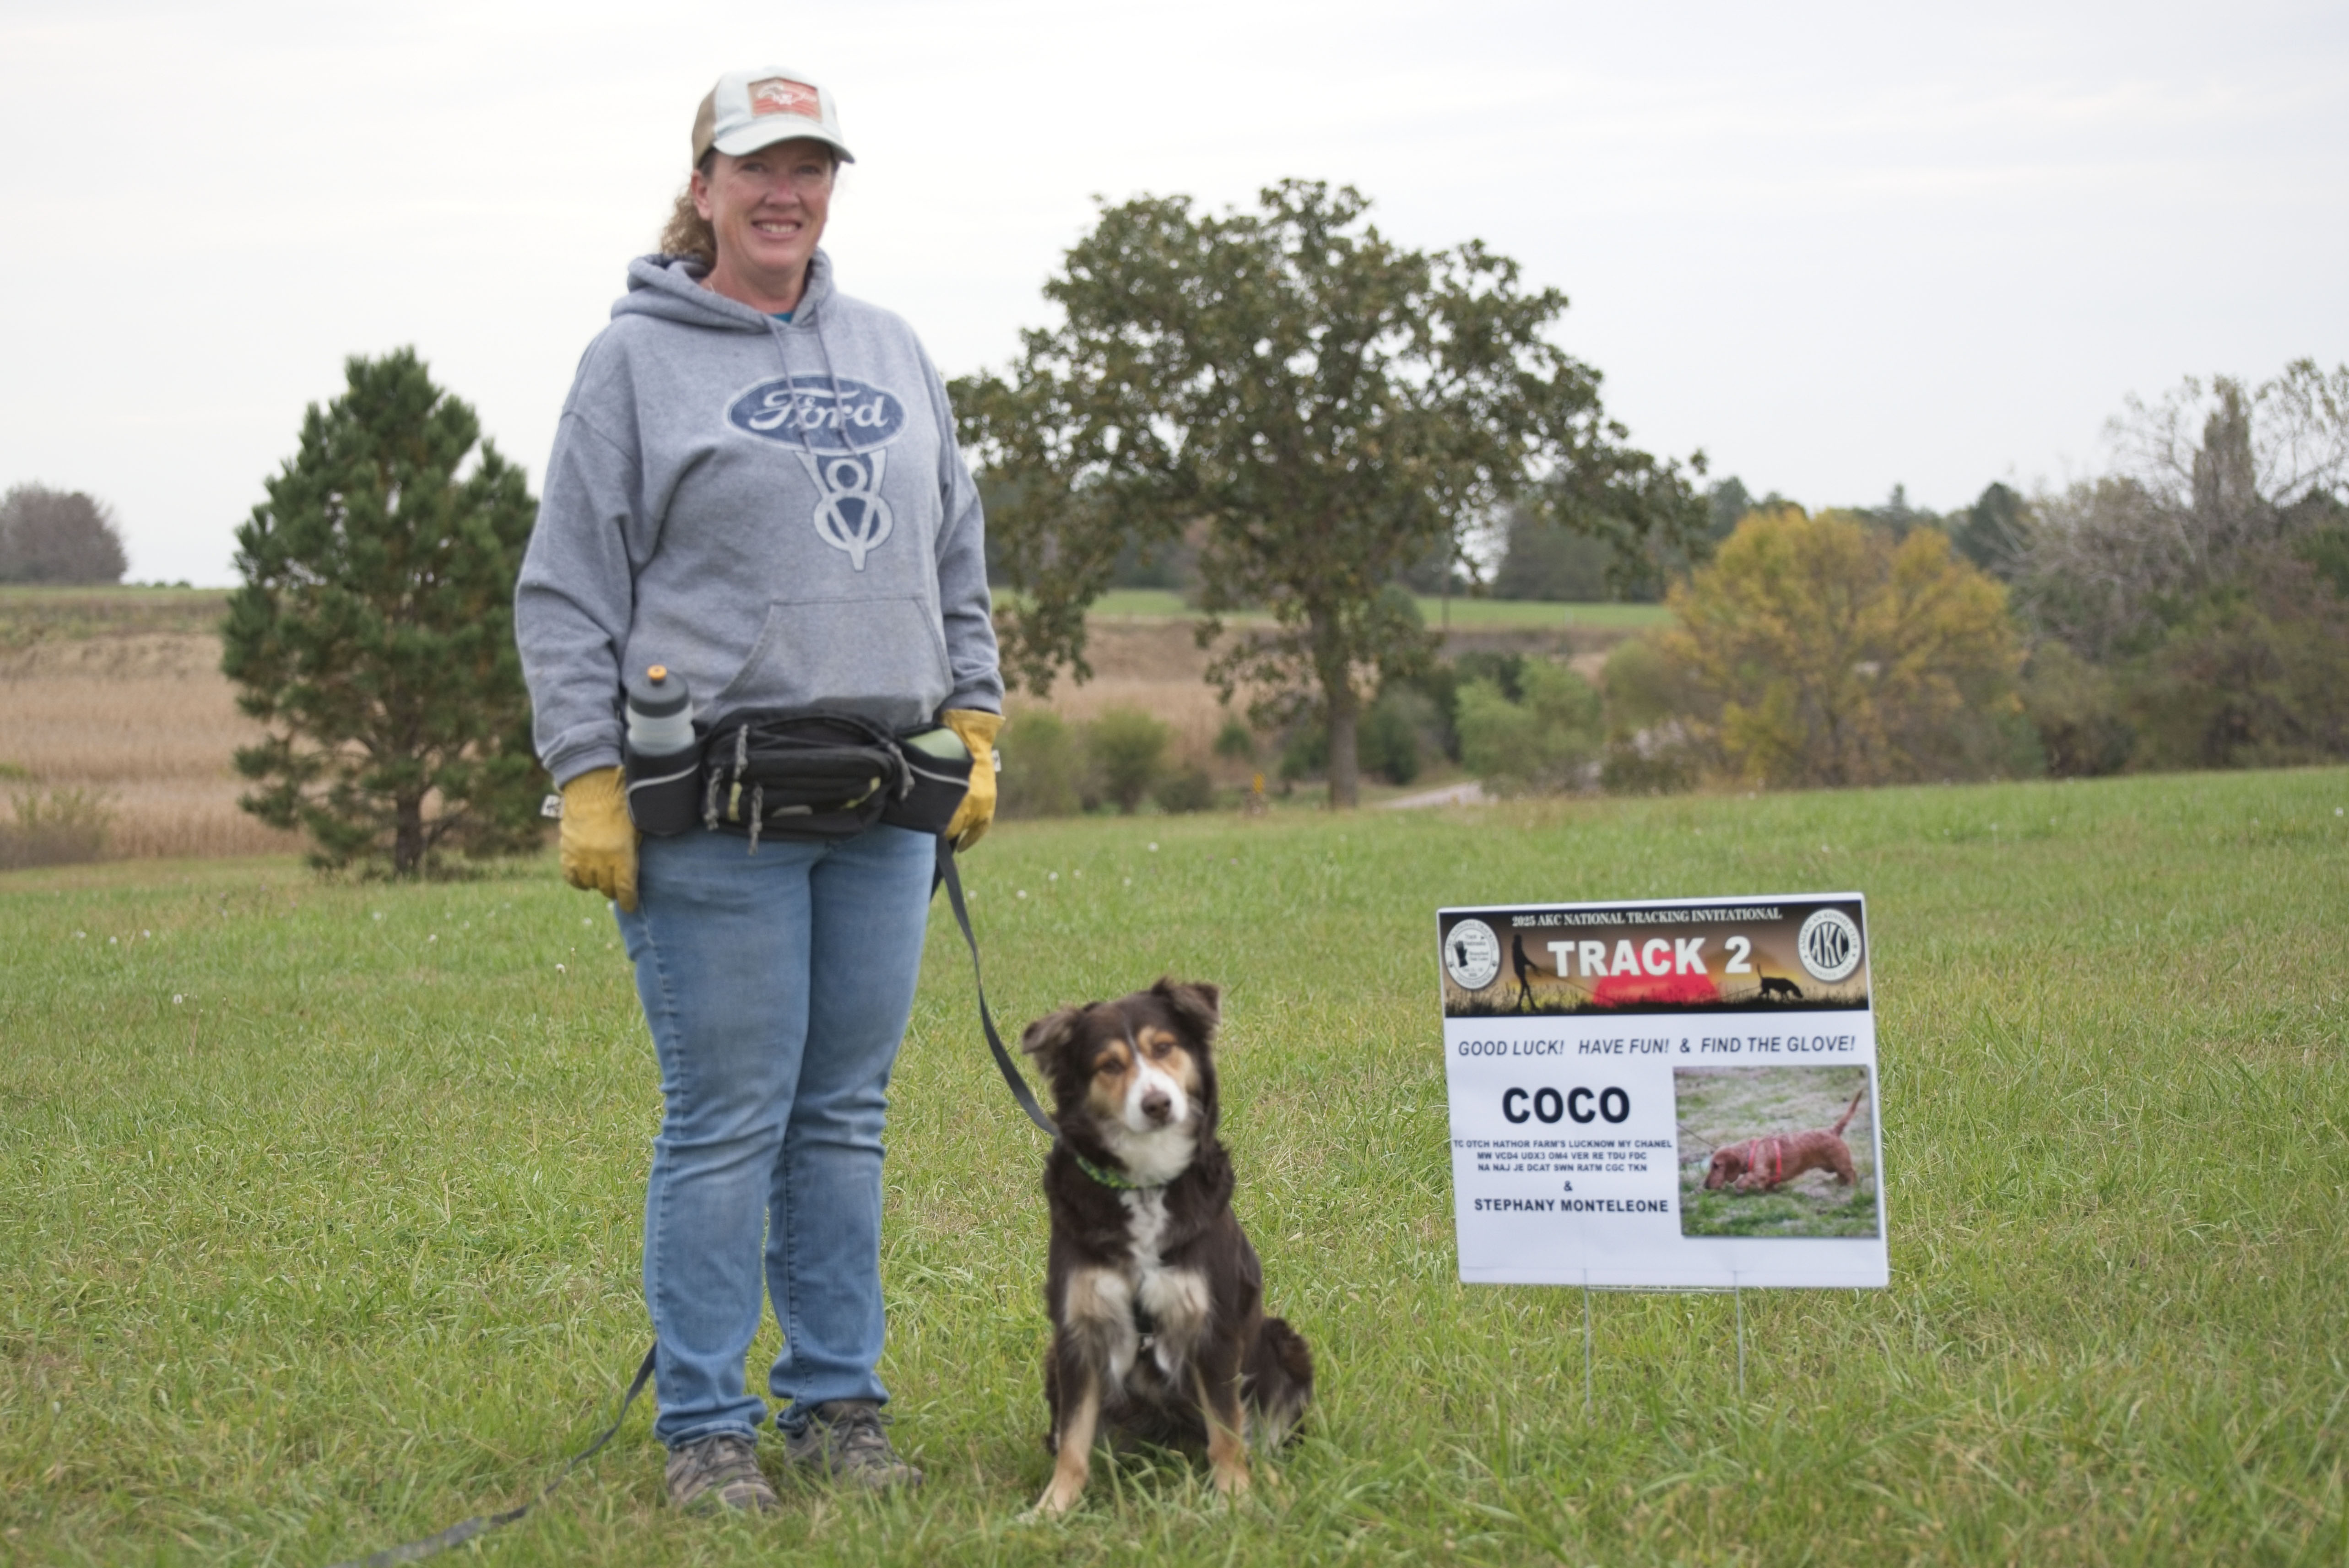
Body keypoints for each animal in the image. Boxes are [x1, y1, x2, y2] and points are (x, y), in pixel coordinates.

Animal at [1019, 978, 1313, 1516]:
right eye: (1109, 1065)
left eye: (1163, 1048)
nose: (1157, 1103)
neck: (1144, 1185)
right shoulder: (1079, 1332)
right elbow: (1072, 1440)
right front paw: (1053, 1509)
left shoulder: (1212, 1329)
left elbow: (1228, 1433)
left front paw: (1236, 1501)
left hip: (1283, 1342)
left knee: (1253, 1439)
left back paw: (1275, 1487)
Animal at [1702, 1085, 1867, 1192]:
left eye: (1716, 1166)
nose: (1706, 1186)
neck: (1750, 1153)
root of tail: (1833, 1130)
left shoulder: (1761, 1172)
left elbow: (1748, 1177)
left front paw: (1741, 1185)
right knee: (1843, 1175)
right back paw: (1842, 1186)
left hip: (1842, 1163)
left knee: (1851, 1173)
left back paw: (1851, 1187)